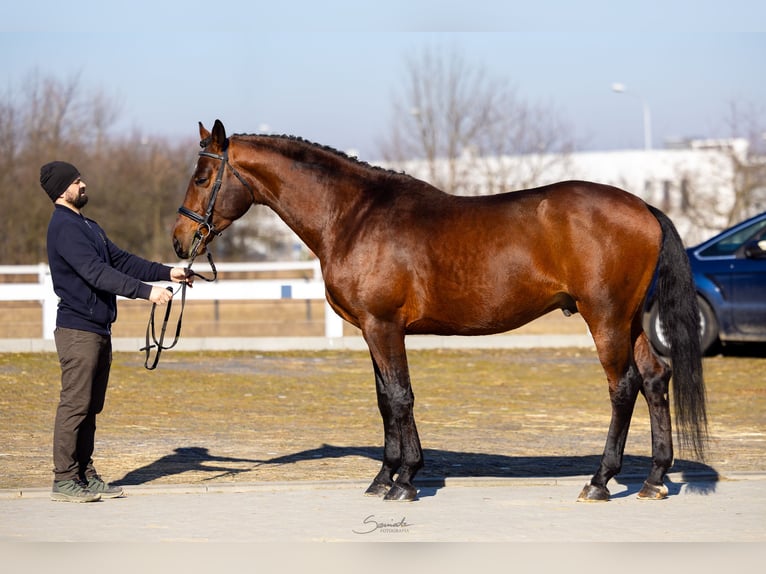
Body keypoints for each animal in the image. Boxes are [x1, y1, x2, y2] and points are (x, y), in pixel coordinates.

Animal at [172, 119, 708, 502]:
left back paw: (599, 481)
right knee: (656, 378)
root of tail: (643, 207)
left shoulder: (384, 327)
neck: (354, 216)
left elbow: (400, 397)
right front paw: (384, 476)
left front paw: (405, 480)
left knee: (624, 387)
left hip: (606, 319)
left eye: (202, 176)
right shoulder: (371, 331)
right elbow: (385, 400)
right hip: (631, 321)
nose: (180, 241)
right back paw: (654, 479)